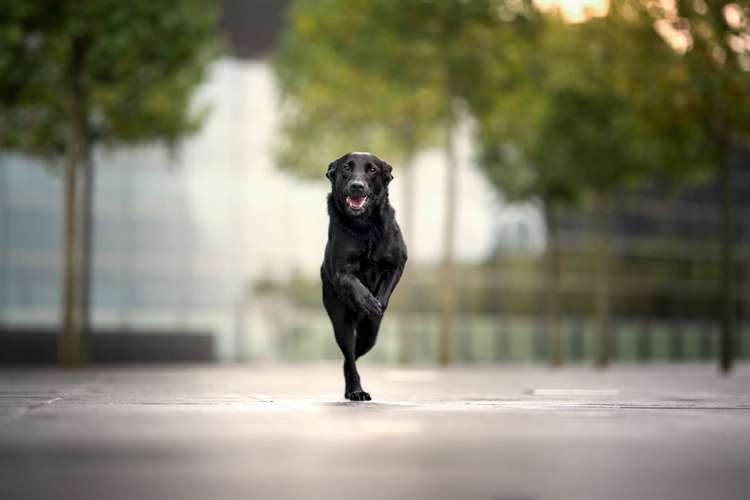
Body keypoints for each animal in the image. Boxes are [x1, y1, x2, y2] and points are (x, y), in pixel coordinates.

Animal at [322, 150, 408, 400]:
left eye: (372, 170)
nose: (357, 186)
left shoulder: (397, 264)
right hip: (341, 324)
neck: (365, 226)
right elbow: (356, 286)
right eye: (347, 168)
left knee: (353, 355)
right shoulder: (342, 271)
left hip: (370, 337)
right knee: (349, 357)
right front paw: (368, 303)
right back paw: (356, 390)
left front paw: (377, 306)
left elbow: (385, 288)